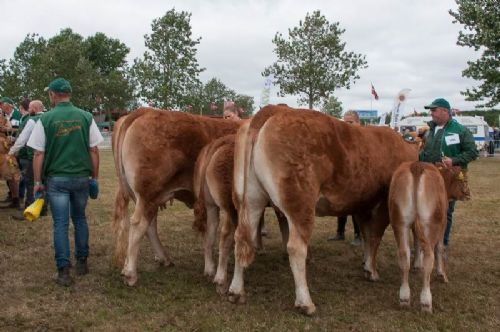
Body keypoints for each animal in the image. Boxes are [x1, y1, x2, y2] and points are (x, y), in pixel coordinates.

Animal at [112, 108, 240, 286]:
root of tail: (145, 111)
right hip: (147, 193)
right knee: (138, 224)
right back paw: (130, 273)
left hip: (146, 197)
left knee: (149, 225)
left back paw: (160, 259)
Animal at [229, 105, 418, 316]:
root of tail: (273, 110)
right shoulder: (383, 204)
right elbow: (375, 237)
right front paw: (372, 271)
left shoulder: (361, 205)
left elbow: (367, 235)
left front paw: (366, 264)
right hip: (300, 202)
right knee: (295, 248)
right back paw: (306, 303)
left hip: (251, 198)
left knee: (241, 237)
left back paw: (236, 291)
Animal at [388, 162, 470, 312]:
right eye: (465, 180)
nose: (468, 194)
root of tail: (416, 166)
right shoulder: (442, 224)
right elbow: (440, 248)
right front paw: (442, 274)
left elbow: (416, 242)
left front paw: (416, 265)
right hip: (430, 223)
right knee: (429, 255)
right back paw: (426, 301)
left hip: (399, 222)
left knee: (403, 255)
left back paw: (404, 298)